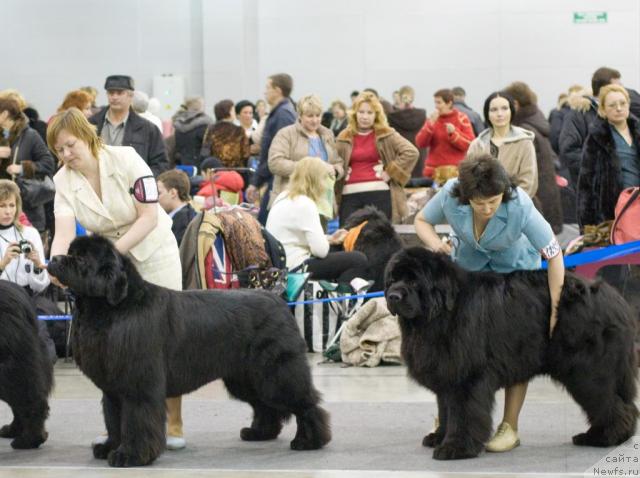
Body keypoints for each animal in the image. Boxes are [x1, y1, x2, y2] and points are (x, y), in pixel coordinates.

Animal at [47, 235, 332, 466]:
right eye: (71, 252)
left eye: (81, 258)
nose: (54, 258)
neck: (114, 308)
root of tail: (278, 300)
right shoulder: (113, 387)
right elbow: (114, 420)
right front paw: (109, 447)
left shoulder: (137, 384)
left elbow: (136, 421)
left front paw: (131, 455)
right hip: (246, 377)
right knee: (265, 405)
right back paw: (260, 433)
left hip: (276, 372)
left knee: (306, 402)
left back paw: (310, 441)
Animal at [382, 246, 636, 460]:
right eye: (393, 279)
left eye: (414, 281)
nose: (393, 296)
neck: (442, 312)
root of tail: (616, 299)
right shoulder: (447, 373)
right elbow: (445, 410)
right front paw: (440, 436)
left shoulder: (467, 378)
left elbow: (462, 414)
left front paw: (455, 447)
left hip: (588, 371)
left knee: (611, 403)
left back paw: (605, 437)